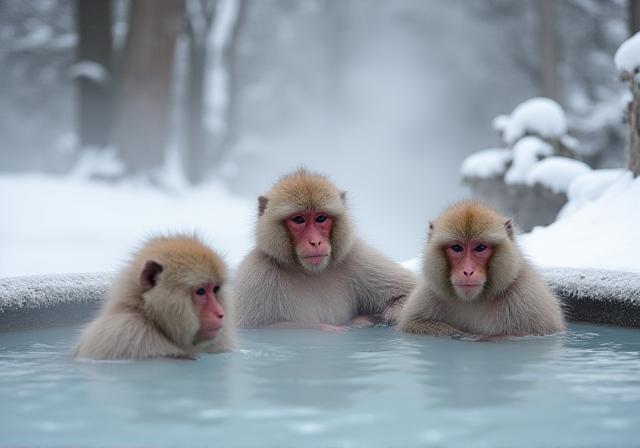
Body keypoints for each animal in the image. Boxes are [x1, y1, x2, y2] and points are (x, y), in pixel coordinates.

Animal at [233, 168, 417, 331]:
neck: (309, 272)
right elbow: (258, 328)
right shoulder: (256, 274)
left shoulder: (356, 255)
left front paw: (368, 320)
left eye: (320, 218)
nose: (315, 242)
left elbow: (406, 294)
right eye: (298, 219)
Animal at [397, 201, 564, 338]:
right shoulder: (429, 294)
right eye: (457, 248)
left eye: (480, 248)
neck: (473, 300)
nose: (468, 271)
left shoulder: (528, 299)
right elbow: (413, 325)